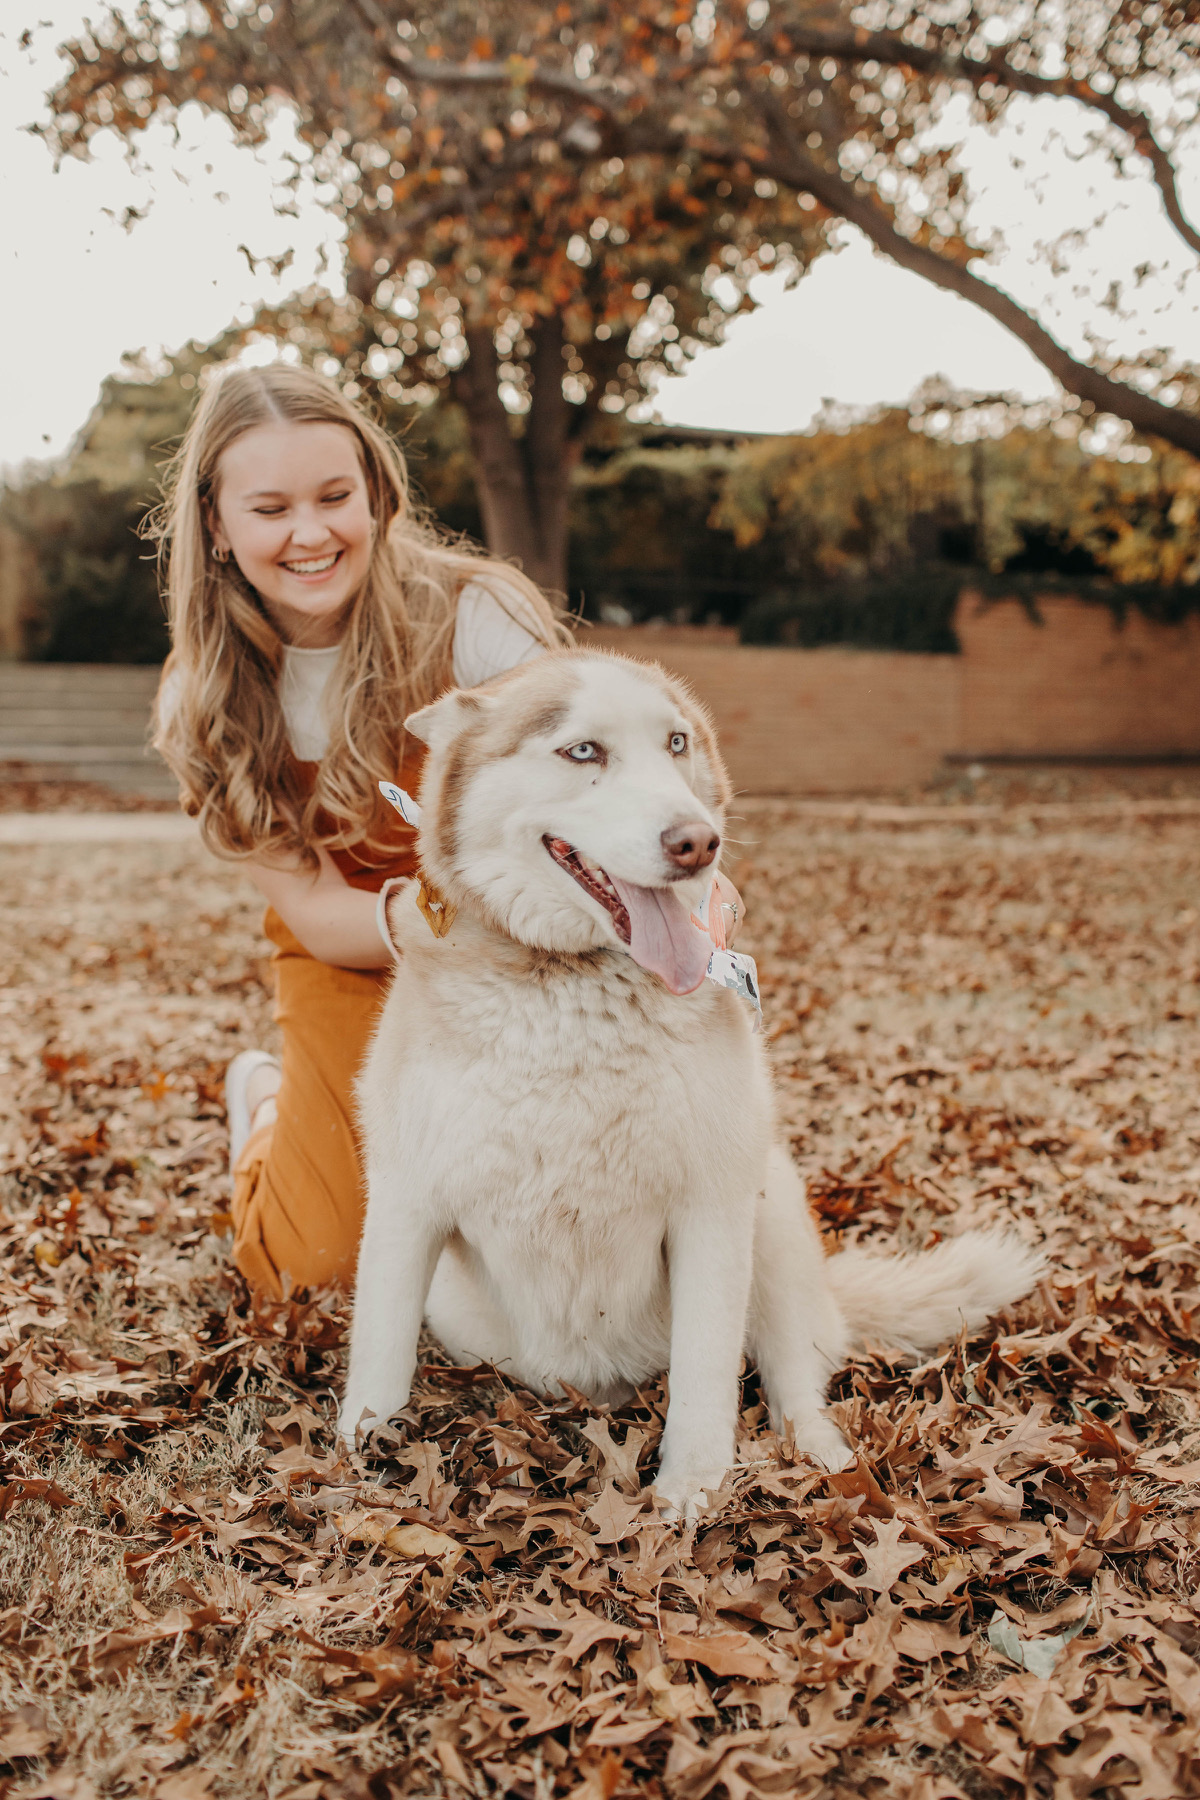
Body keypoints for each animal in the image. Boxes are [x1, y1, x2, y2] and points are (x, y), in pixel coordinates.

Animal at [340, 651, 1043, 1519]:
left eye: (676, 742)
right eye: (583, 751)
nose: (697, 842)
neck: (570, 987)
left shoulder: (710, 1206)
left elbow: (707, 1374)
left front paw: (692, 1491)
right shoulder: (406, 1204)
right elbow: (378, 1360)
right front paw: (361, 1464)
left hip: (769, 1211)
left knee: (793, 1377)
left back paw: (820, 1455)